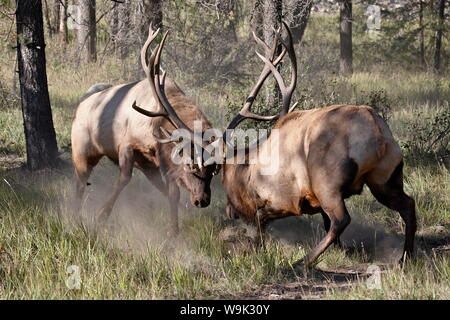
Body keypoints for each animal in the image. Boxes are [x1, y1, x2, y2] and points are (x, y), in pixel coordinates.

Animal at [71, 25, 218, 235]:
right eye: (191, 166)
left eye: (214, 171)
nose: (202, 200)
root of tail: (81, 104)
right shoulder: (127, 144)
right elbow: (124, 179)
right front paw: (101, 215)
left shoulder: (157, 162)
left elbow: (172, 193)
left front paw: (174, 229)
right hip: (82, 150)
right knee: (79, 183)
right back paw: (75, 217)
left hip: (145, 166)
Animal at [157, 22, 414, 266]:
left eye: (217, 174)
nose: (230, 210)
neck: (247, 170)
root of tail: (376, 131)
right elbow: (323, 223)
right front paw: (345, 250)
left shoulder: (286, 200)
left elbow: (261, 224)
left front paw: (258, 251)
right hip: (385, 176)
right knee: (408, 204)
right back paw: (405, 257)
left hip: (327, 181)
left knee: (341, 219)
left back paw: (303, 261)